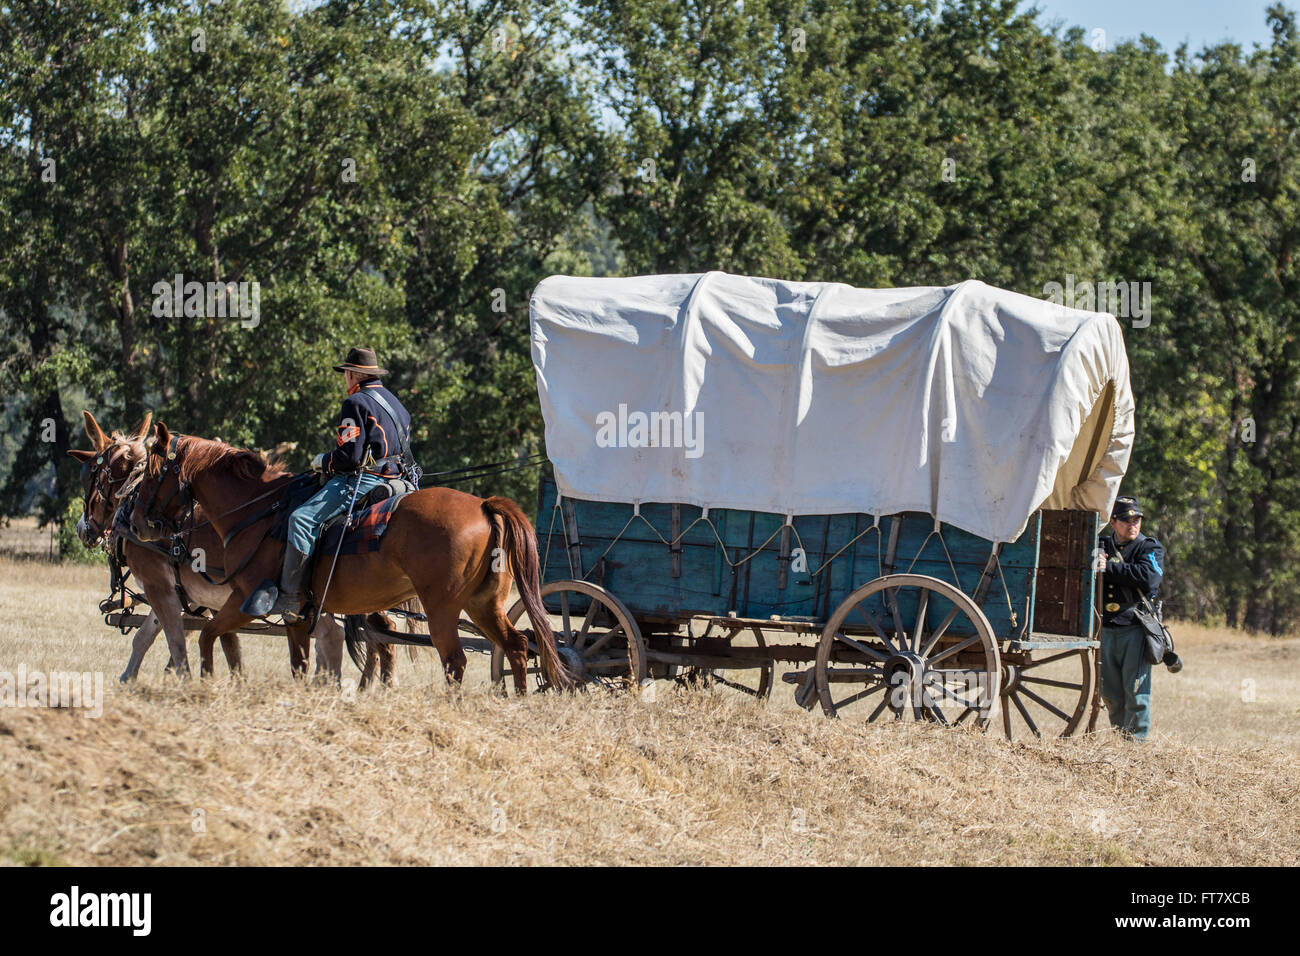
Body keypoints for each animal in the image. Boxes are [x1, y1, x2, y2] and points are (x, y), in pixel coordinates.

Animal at [69, 411, 340, 681]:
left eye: (91, 474)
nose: (82, 529)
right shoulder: (188, 595)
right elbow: (161, 638)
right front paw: (129, 679)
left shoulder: (159, 587)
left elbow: (178, 644)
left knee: (329, 638)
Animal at [125, 421, 569, 691]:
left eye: (152, 472)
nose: (137, 522)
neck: (257, 510)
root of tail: (483, 506)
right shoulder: (297, 615)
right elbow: (299, 662)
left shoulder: (245, 600)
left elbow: (208, 636)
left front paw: (204, 682)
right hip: (483, 605)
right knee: (516, 646)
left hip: (443, 608)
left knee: (455, 660)